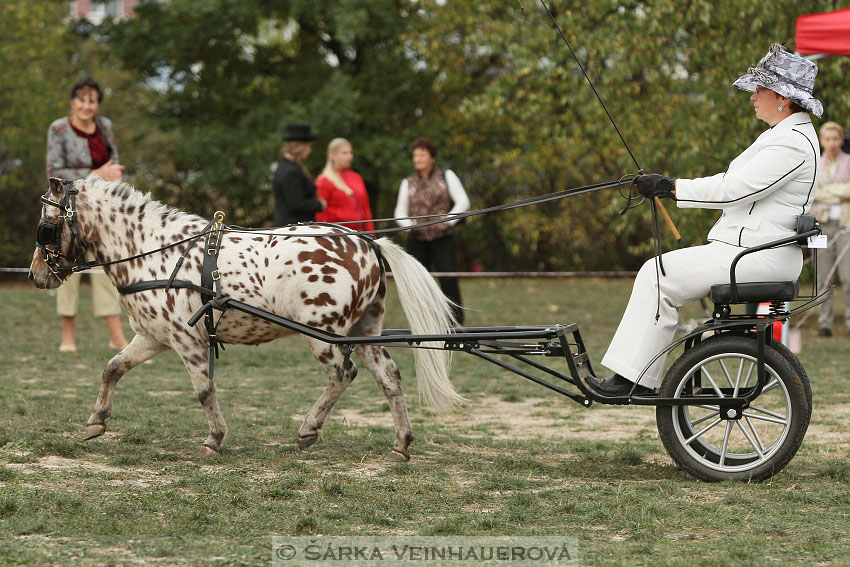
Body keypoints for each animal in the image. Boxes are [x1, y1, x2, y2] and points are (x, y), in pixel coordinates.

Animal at [26, 178, 460, 462]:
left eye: (46, 226)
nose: (35, 275)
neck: (153, 250)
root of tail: (367, 242)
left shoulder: (187, 340)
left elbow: (204, 390)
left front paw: (214, 439)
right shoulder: (153, 337)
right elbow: (113, 367)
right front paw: (96, 421)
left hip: (323, 333)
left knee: (343, 375)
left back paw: (309, 429)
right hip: (363, 331)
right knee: (389, 377)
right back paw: (401, 444)